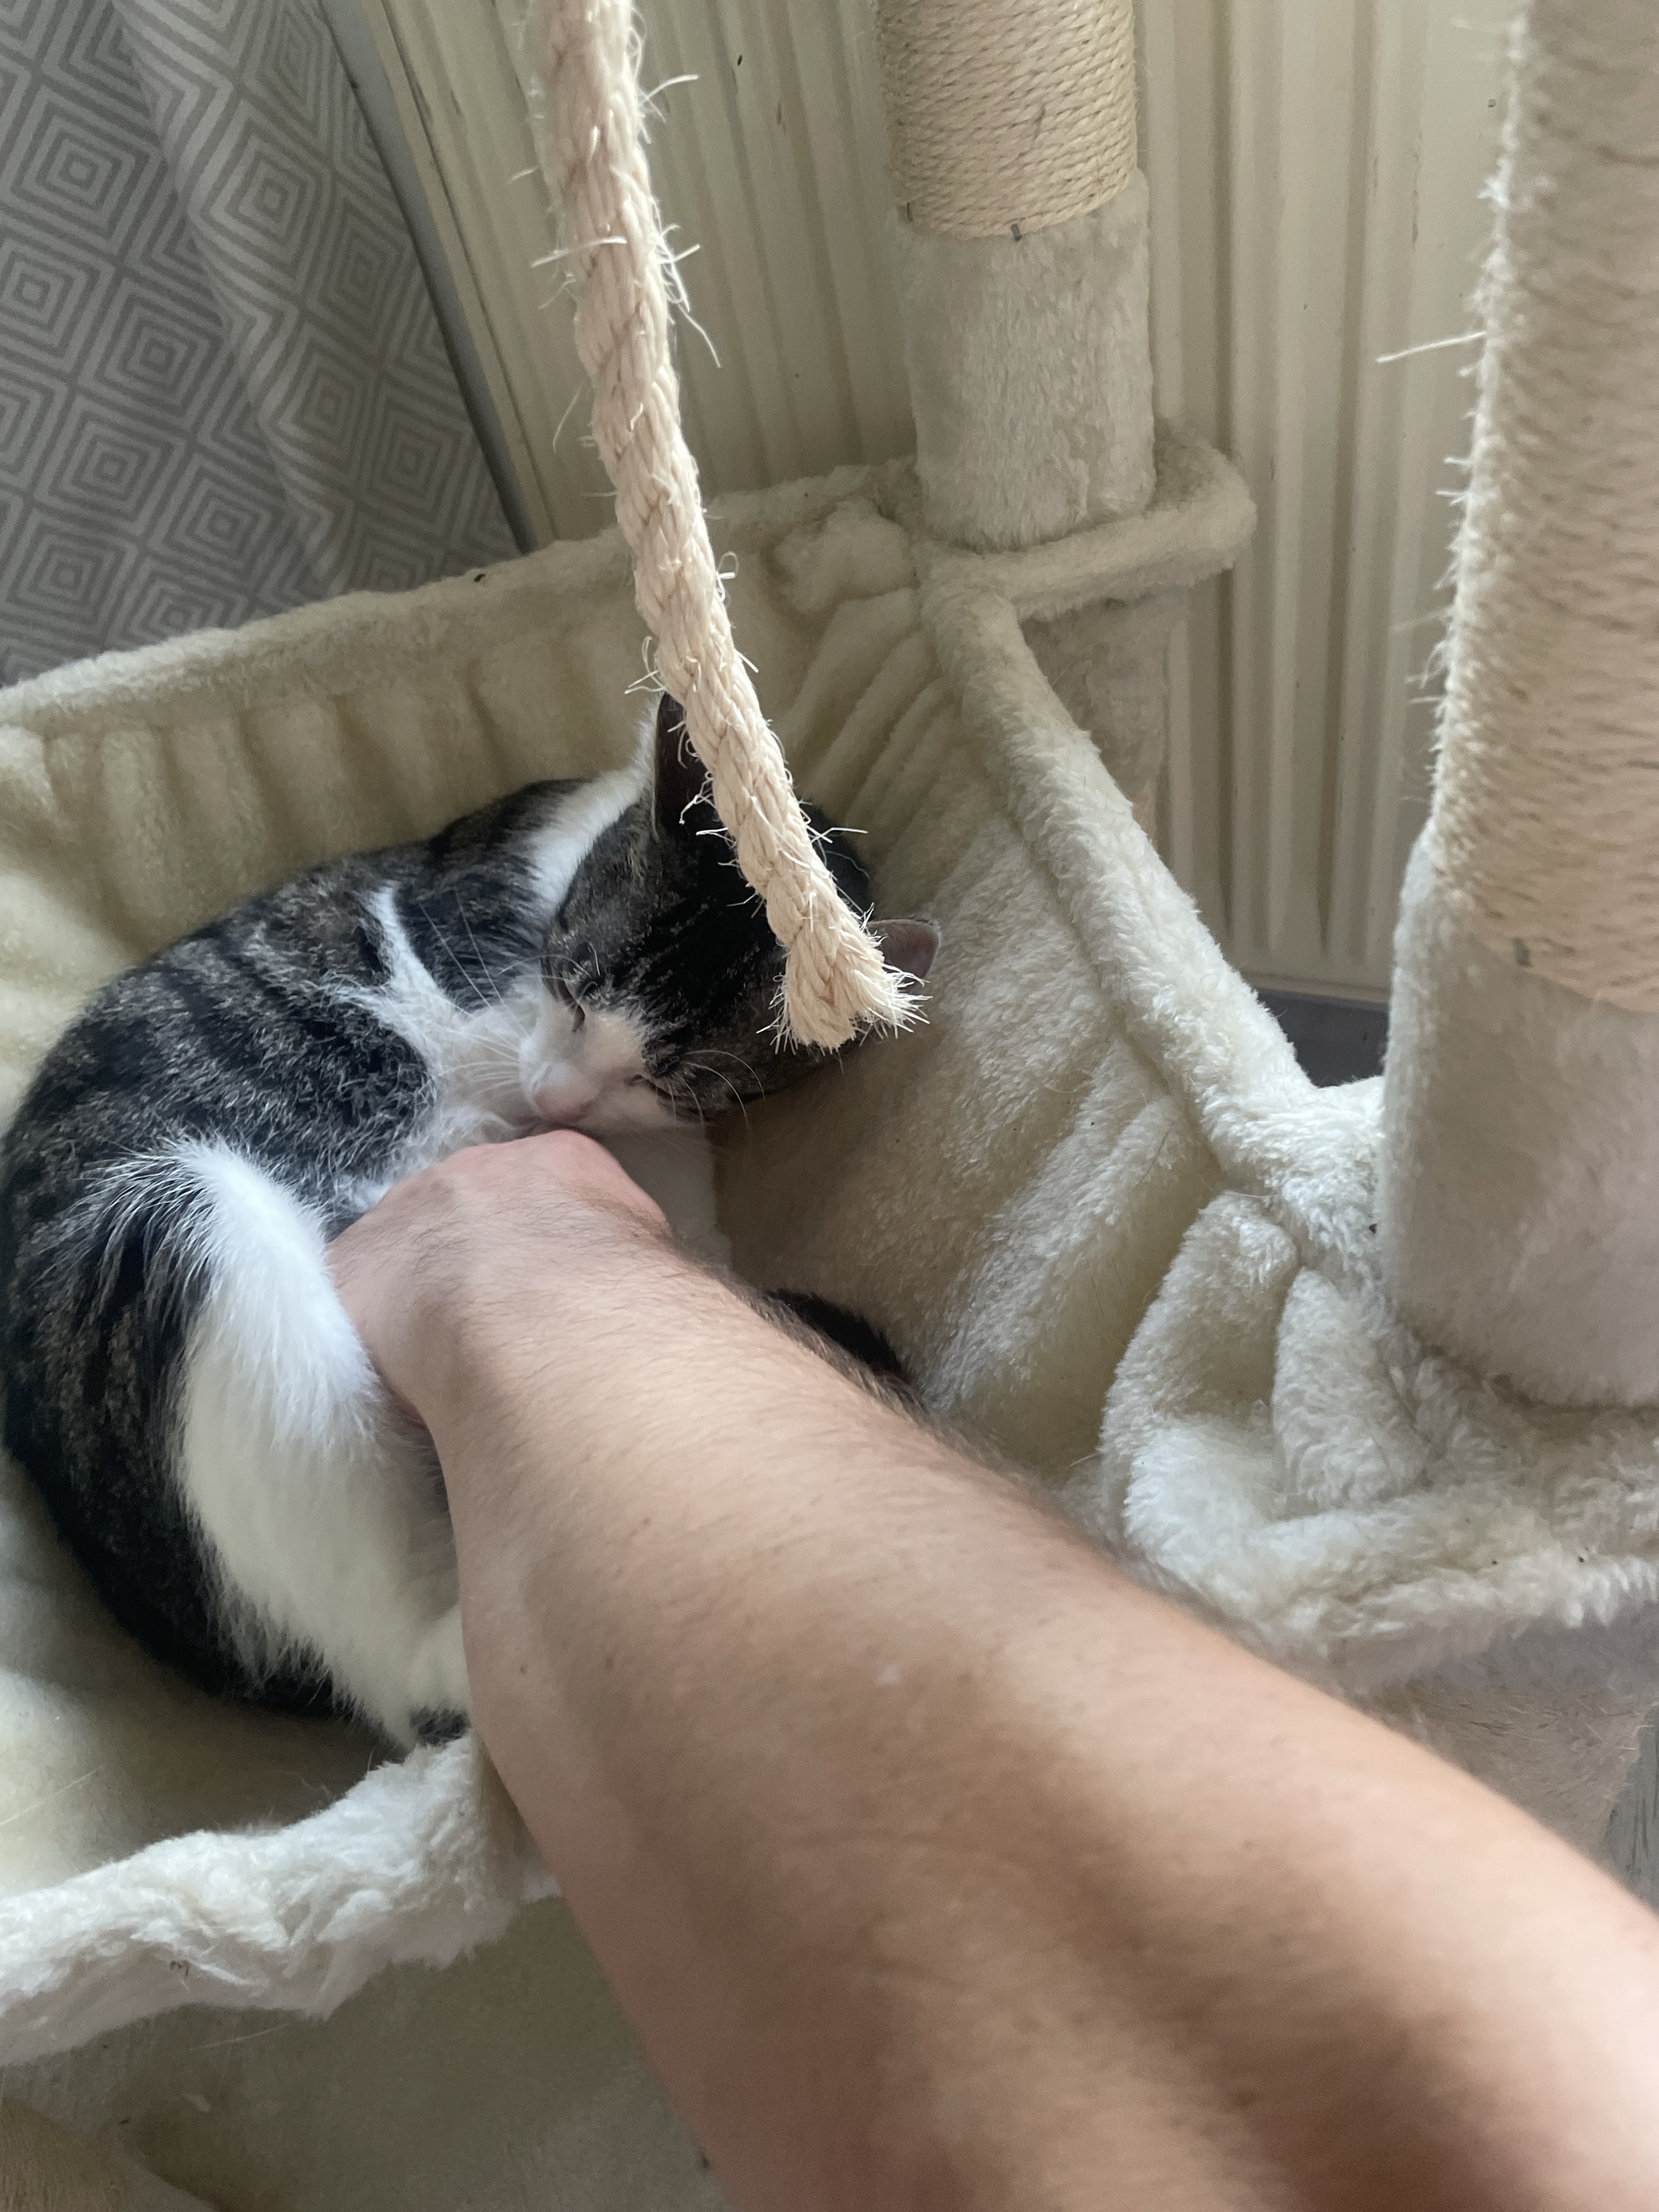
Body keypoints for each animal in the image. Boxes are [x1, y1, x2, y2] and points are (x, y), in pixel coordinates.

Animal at [0, 695, 937, 1746]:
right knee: (403, 1676)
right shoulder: (466, 973)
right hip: (178, 1226)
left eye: (669, 1079)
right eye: (569, 987)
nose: (553, 1098)